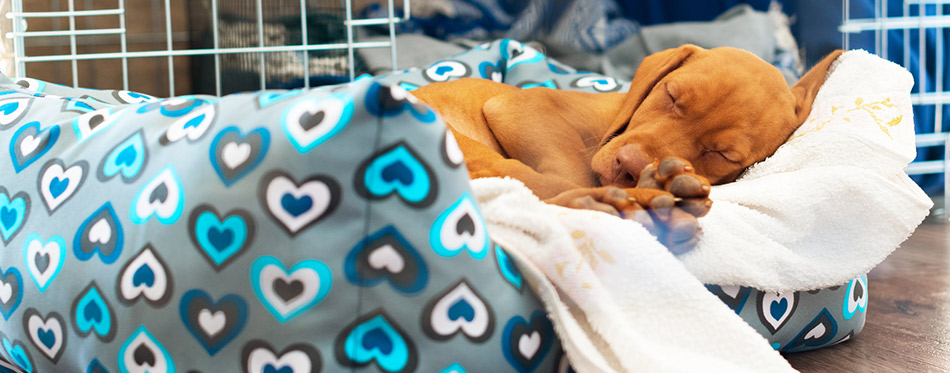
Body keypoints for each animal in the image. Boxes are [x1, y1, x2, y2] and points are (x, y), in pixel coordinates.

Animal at [412, 44, 844, 253]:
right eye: (670, 96)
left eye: (723, 154)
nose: (629, 166)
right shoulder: (521, 105)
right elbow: (570, 171)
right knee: (542, 189)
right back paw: (635, 204)